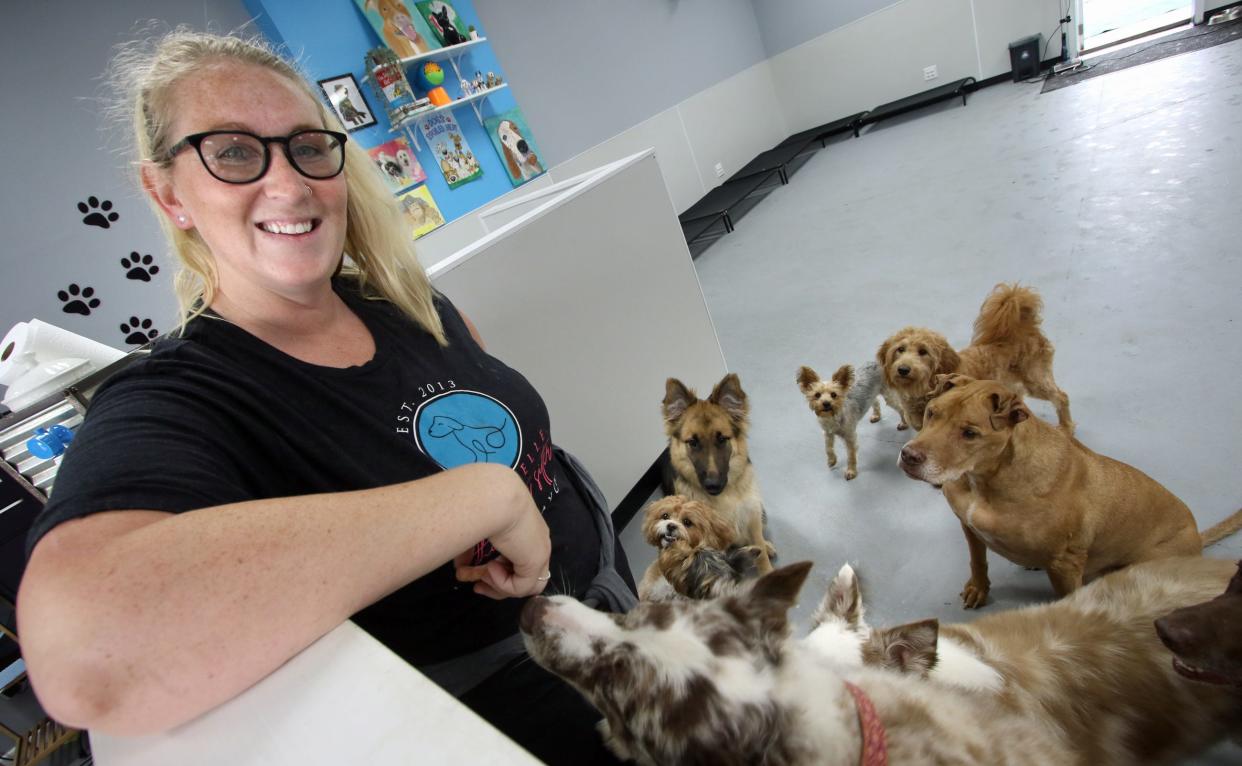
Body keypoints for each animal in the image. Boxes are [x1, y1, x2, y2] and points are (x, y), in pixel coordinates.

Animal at [879, 284, 1073, 432]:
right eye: (900, 349)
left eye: (923, 351)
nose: (903, 369)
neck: (924, 389)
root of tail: (1026, 328)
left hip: (1035, 380)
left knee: (1061, 396)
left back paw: (1066, 427)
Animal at [899, 372, 1242, 605]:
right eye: (932, 412)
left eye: (970, 433)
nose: (909, 456)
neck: (986, 479)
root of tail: (1197, 540)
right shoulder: (969, 526)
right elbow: (978, 561)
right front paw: (978, 589)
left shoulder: (1066, 564)